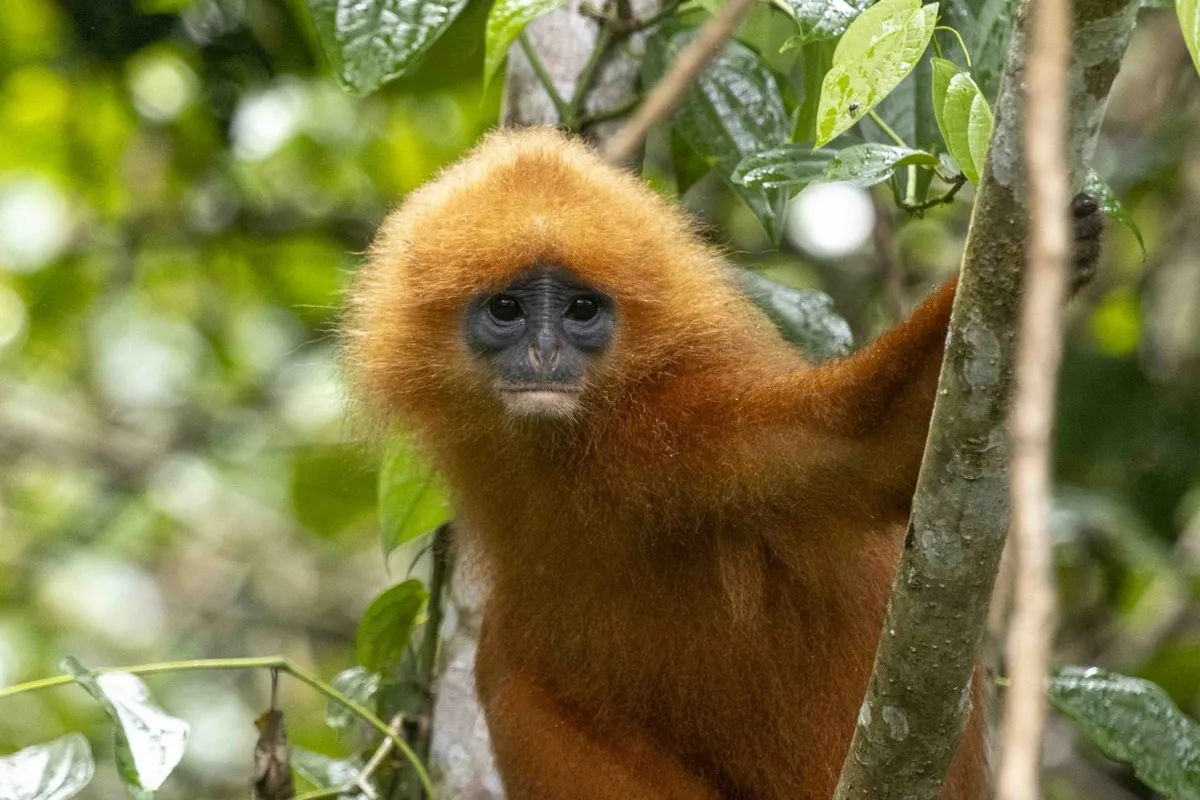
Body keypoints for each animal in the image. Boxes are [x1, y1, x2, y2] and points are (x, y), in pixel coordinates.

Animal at [343, 127, 1104, 799]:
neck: (572, 445)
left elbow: (869, 447)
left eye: (581, 311)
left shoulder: (686, 428)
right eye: (508, 310)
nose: (544, 354)